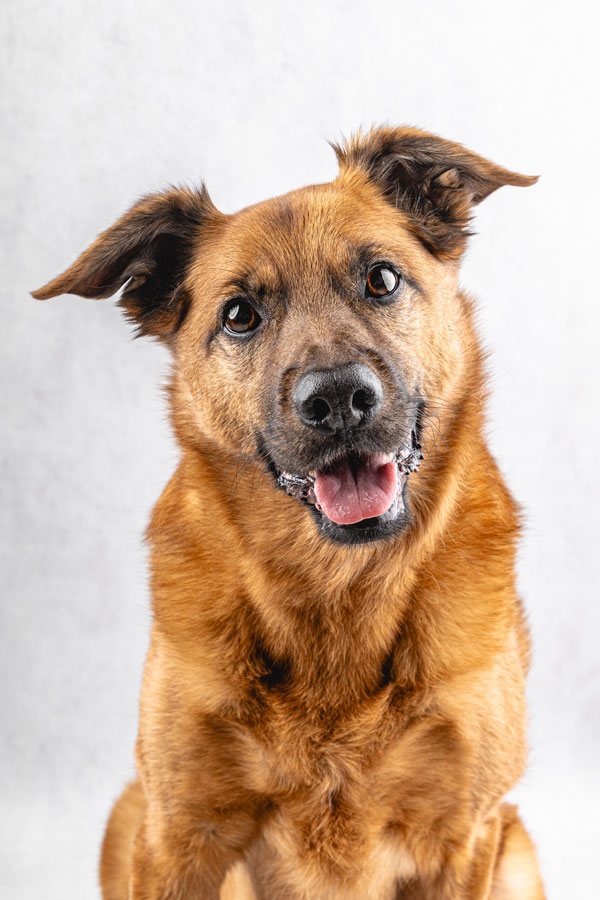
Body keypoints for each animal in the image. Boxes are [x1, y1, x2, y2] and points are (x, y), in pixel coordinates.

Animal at [35, 126, 548, 900]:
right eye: (240, 316)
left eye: (382, 279)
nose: (338, 399)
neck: (336, 585)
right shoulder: (178, 832)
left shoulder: (463, 837)